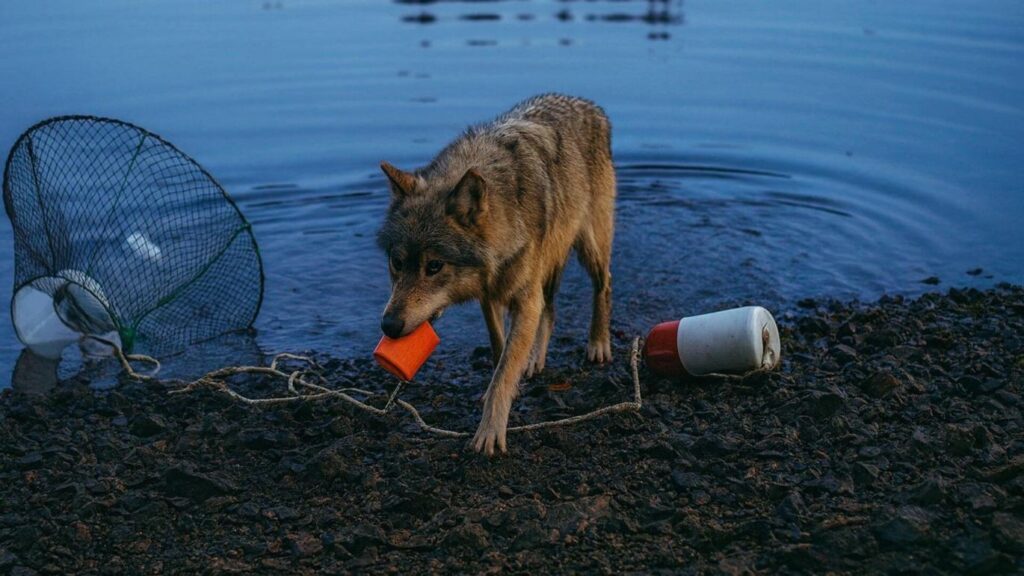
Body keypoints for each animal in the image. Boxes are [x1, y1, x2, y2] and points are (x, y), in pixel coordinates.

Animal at [376, 93, 616, 455]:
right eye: (397, 262)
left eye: (434, 266)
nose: (388, 326)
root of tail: (588, 104)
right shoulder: (489, 295)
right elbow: (499, 349)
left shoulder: (524, 300)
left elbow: (504, 371)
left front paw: (490, 431)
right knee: (550, 309)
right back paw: (534, 360)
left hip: (589, 247)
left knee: (604, 285)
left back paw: (598, 343)